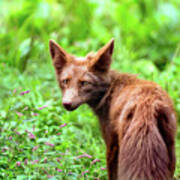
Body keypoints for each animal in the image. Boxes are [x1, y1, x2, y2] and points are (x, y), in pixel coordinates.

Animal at [48, 38, 176, 179]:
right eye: (65, 81)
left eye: (84, 83)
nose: (66, 103)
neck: (109, 91)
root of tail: (148, 105)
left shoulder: (111, 144)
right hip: (171, 151)